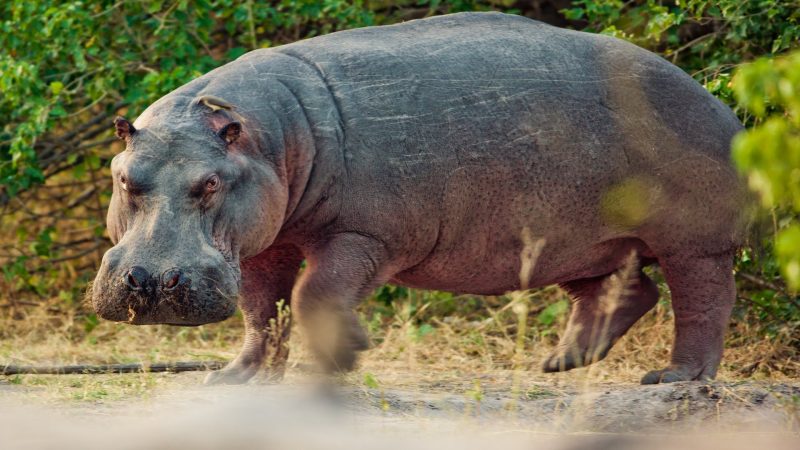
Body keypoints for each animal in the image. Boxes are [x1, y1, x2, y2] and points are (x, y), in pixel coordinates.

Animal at [90, 11, 748, 384]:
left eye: (209, 183)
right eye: (124, 177)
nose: (151, 284)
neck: (266, 134)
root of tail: (719, 103)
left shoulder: (364, 233)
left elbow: (313, 293)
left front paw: (347, 352)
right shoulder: (260, 240)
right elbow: (262, 311)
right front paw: (234, 380)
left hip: (694, 238)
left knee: (702, 299)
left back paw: (674, 378)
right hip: (574, 238)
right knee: (620, 290)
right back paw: (559, 365)